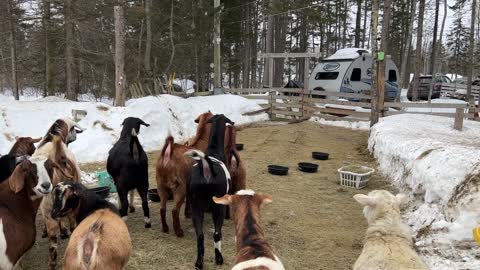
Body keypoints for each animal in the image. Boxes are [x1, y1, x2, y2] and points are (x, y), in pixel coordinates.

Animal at [184, 114, 234, 270]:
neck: (213, 151)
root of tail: (206, 168)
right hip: (218, 206)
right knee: (217, 234)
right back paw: (219, 259)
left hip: (196, 206)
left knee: (200, 236)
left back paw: (199, 263)